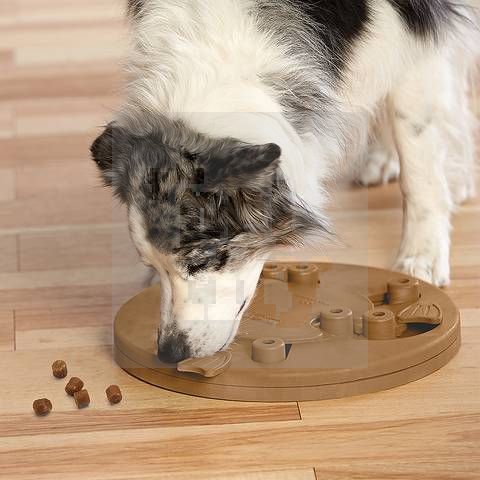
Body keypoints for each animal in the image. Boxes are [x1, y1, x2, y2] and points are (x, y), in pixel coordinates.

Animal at [91, 0, 480, 360]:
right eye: (152, 266)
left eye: (203, 260)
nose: (170, 354)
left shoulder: (419, 25)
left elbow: (419, 158)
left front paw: (422, 257)